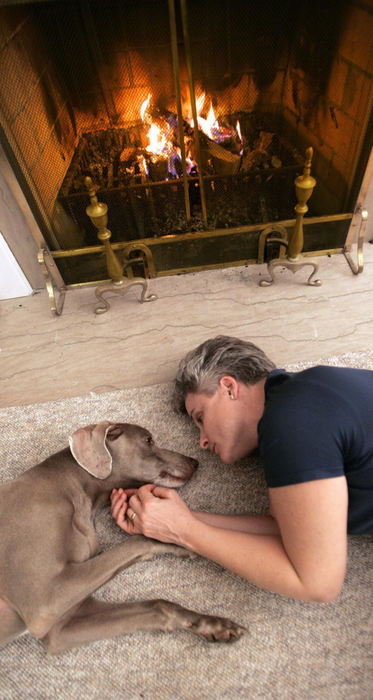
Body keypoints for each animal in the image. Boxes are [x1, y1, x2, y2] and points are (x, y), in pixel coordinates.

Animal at [0, 418, 246, 652]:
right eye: (148, 440)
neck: (73, 490)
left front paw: (213, 624)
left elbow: (160, 605)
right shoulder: (44, 600)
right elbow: (138, 541)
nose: (195, 461)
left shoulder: (61, 627)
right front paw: (180, 544)